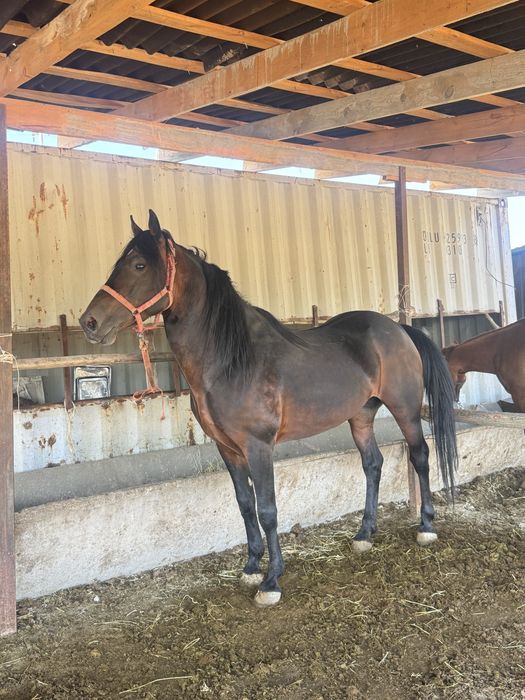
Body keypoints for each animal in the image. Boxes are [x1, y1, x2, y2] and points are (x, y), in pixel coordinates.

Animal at [80, 210, 458, 607]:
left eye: (139, 265)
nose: (89, 322)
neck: (231, 360)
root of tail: (398, 328)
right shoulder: (228, 449)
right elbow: (245, 504)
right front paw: (250, 567)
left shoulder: (258, 446)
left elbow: (268, 509)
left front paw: (271, 580)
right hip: (360, 415)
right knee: (373, 464)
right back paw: (364, 535)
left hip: (405, 410)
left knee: (420, 455)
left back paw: (426, 526)